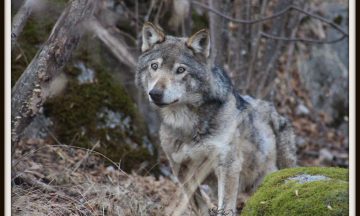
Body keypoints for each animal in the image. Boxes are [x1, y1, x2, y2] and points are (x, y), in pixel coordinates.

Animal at [135, 22, 296, 216]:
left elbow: (225, 205)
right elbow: (196, 201)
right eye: (154, 66)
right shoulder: (180, 169)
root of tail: (274, 111)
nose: (155, 93)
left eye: (180, 70)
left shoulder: (227, 165)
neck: (187, 124)